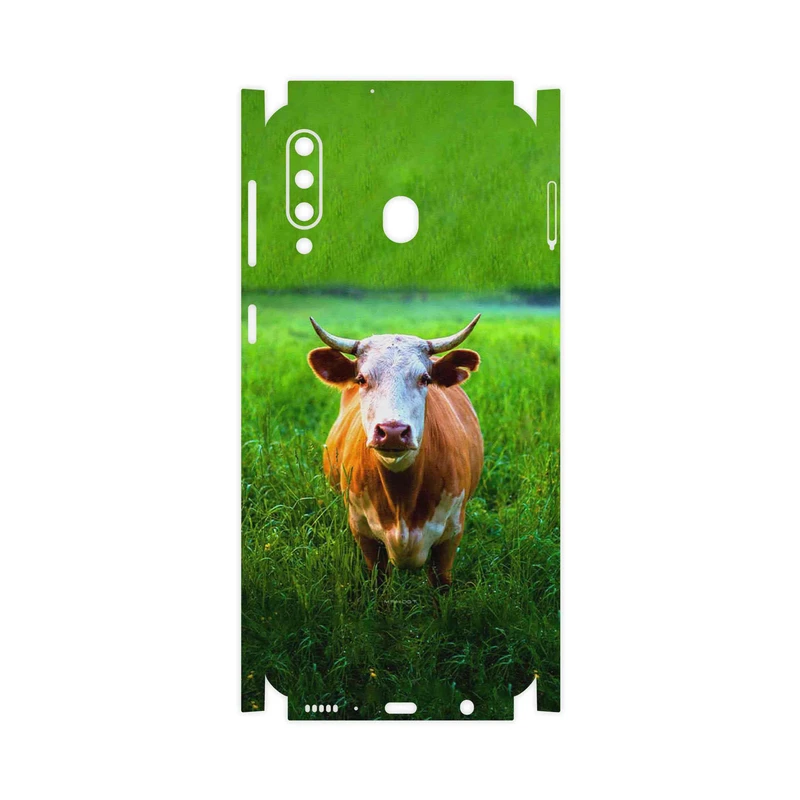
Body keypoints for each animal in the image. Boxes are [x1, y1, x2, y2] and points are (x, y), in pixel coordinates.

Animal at [307, 315, 484, 590]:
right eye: (361, 379)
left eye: (425, 379)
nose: (392, 431)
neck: (402, 499)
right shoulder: (364, 534)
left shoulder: (451, 535)